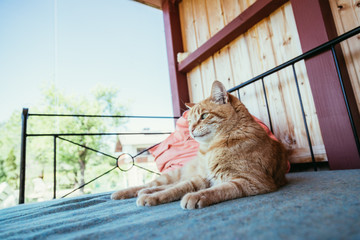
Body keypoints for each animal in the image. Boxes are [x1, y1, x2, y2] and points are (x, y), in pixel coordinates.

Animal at [111, 80, 288, 208]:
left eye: (203, 116)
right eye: (189, 120)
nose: (190, 129)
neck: (212, 148)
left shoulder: (252, 181)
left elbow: (218, 190)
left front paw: (197, 196)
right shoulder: (202, 178)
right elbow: (177, 189)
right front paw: (155, 197)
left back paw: (143, 192)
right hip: (172, 175)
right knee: (159, 185)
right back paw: (126, 192)